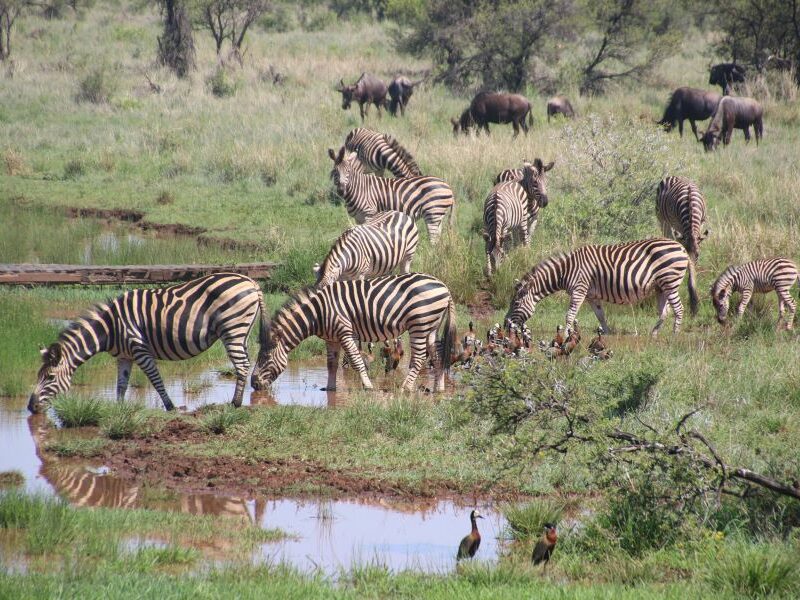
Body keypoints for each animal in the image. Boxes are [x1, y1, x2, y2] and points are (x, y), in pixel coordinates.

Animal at [28, 273, 266, 413]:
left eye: (49, 377)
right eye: (38, 376)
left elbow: (155, 380)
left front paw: (170, 407)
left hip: (232, 327)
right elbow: (121, 384)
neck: (110, 328)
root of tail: (251, 281)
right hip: (241, 331)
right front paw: (119, 409)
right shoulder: (124, 356)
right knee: (244, 362)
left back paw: (235, 404)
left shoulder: (139, 349)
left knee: (241, 365)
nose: (30, 407)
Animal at [251, 273, 457, 393]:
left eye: (264, 358)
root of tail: (444, 286)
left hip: (419, 324)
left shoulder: (345, 332)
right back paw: (439, 388)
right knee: (438, 355)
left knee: (419, 357)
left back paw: (405, 388)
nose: (253, 385)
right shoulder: (331, 338)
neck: (318, 313)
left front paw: (367, 386)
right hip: (431, 327)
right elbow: (331, 364)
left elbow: (357, 361)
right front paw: (330, 388)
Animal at [505, 238, 699, 335]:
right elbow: (600, 315)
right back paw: (654, 334)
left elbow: (570, 314)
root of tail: (681, 247)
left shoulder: (579, 289)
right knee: (664, 311)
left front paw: (565, 334)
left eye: (516, 304)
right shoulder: (591, 295)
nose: (506, 325)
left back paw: (674, 335)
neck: (566, 270)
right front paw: (606, 333)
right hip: (661, 287)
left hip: (670, 281)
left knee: (679, 309)